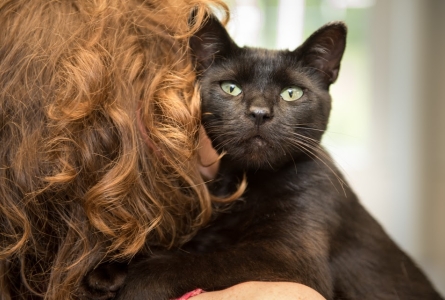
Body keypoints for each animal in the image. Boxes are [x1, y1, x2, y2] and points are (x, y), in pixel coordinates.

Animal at [81, 15, 442, 300]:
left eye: (292, 93)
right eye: (230, 88)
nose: (259, 112)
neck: (248, 182)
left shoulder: (289, 258)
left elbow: (198, 262)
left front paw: (138, 285)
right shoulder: (215, 234)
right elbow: (181, 248)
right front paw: (110, 270)